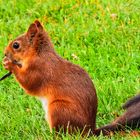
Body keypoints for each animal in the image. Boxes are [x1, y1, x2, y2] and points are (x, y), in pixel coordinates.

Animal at [2, 20, 139, 135]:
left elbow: (29, 84)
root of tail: (89, 131)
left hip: (59, 109)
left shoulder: (40, 69)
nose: (4, 53)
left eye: (16, 45)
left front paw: (9, 64)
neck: (39, 54)